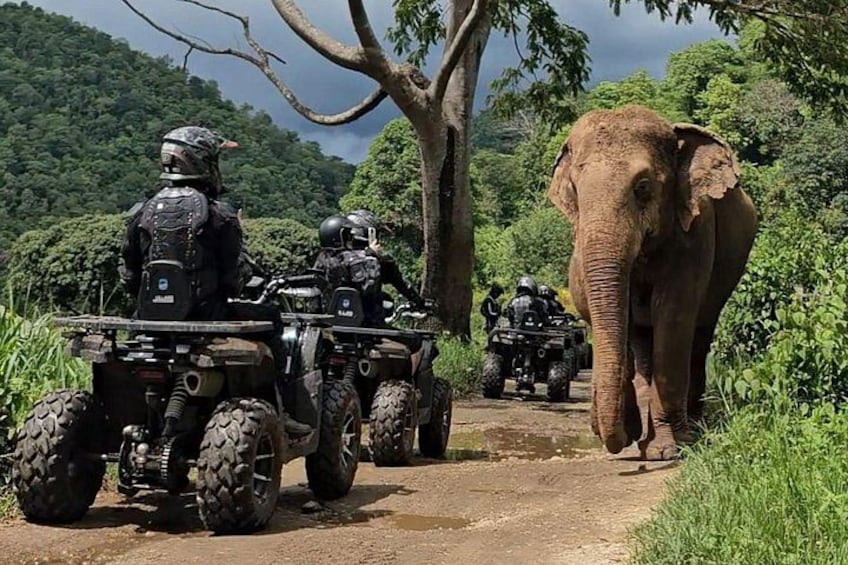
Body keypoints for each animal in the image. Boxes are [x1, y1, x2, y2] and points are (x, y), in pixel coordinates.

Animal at [548, 105, 757, 461]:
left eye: (643, 187)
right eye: (574, 190)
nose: (618, 439)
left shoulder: (694, 232)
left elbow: (672, 318)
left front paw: (664, 452)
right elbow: (619, 319)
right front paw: (635, 436)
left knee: (699, 334)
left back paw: (690, 431)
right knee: (644, 340)